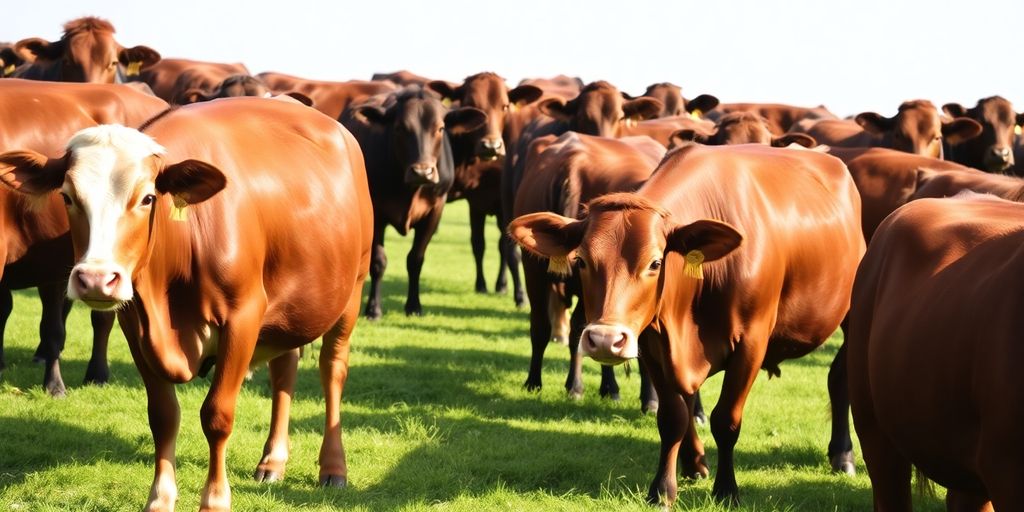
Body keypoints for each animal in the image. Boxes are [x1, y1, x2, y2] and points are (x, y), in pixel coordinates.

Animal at [0, 79, 168, 396]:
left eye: (147, 197)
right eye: (65, 196)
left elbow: (53, 327)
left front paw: (55, 386)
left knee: (100, 318)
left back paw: (97, 373)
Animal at [341, 87, 486, 319]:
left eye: (440, 128)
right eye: (400, 128)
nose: (422, 171)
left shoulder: (435, 211)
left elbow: (416, 259)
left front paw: (414, 305)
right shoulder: (377, 213)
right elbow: (378, 262)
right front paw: (373, 308)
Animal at [428, 73, 543, 295]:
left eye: (505, 106)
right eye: (471, 104)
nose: (491, 146)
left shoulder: (499, 205)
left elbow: (503, 245)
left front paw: (505, 286)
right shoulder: (477, 203)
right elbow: (478, 244)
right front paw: (481, 285)